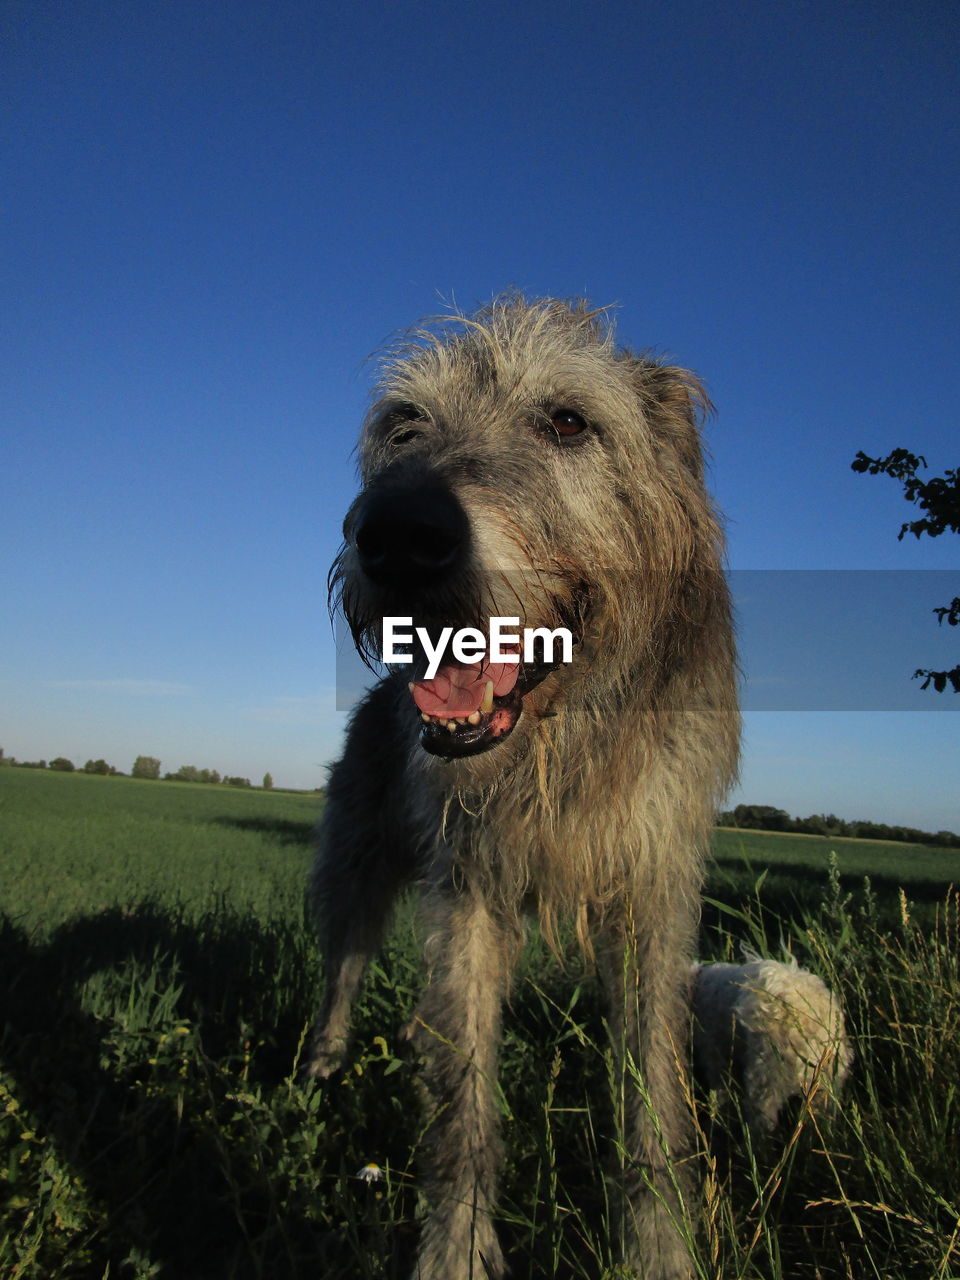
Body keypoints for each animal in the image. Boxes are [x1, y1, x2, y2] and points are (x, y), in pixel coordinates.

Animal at [312, 294, 742, 1274]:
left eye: (568, 422)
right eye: (405, 422)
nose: (397, 536)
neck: (557, 744)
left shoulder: (653, 895)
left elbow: (652, 1094)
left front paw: (658, 1246)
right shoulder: (468, 889)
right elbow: (461, 1103)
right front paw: (456, 1250)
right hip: (354, 866)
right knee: (344, 968)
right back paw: (318, 1071)